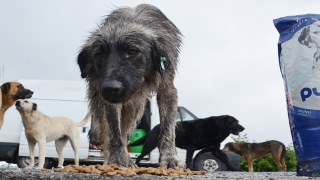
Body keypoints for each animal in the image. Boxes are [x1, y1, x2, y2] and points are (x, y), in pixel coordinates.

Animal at [76, 3, 184, 168]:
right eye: (99, 55)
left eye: (132, 51)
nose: (110, 88)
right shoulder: (108, 99)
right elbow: (114, 131)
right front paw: (116, 160)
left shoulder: (167, 88)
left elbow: (167, 127)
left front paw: (170, 158)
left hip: (135, 108)